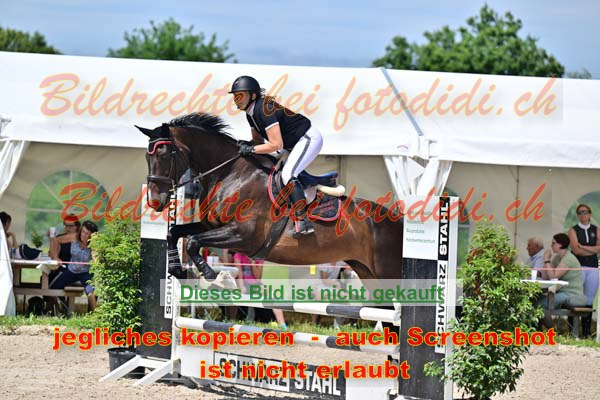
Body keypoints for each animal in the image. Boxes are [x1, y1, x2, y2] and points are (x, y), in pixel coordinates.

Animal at [139, 112, 403, 284]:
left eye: (164, 154)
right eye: (147, 156)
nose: (155, 201)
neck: (230, 173)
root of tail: (397, 220)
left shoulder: (243, 235)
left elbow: (193, 242)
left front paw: (212, 274)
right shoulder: (211, 225)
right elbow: (175, 233)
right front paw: (176, 269)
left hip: (388, 272)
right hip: (368, 273)